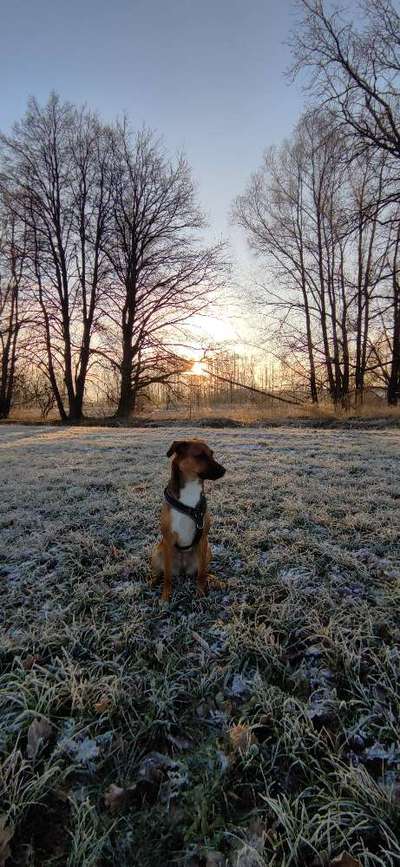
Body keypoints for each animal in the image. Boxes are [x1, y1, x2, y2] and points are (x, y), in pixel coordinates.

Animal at [150, 440, 225, 604]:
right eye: (200, 455)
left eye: (212, 453)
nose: (224, 470)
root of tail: (183, 570)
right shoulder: (168, 539)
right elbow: (167, 577)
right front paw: (166, 596)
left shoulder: (203, 538)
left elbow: (202, 573)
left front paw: (200, 592)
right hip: (158, 551)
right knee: (161, 572)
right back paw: (153, 580)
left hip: (207, 551)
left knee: (203, 571)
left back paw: (213, 579)